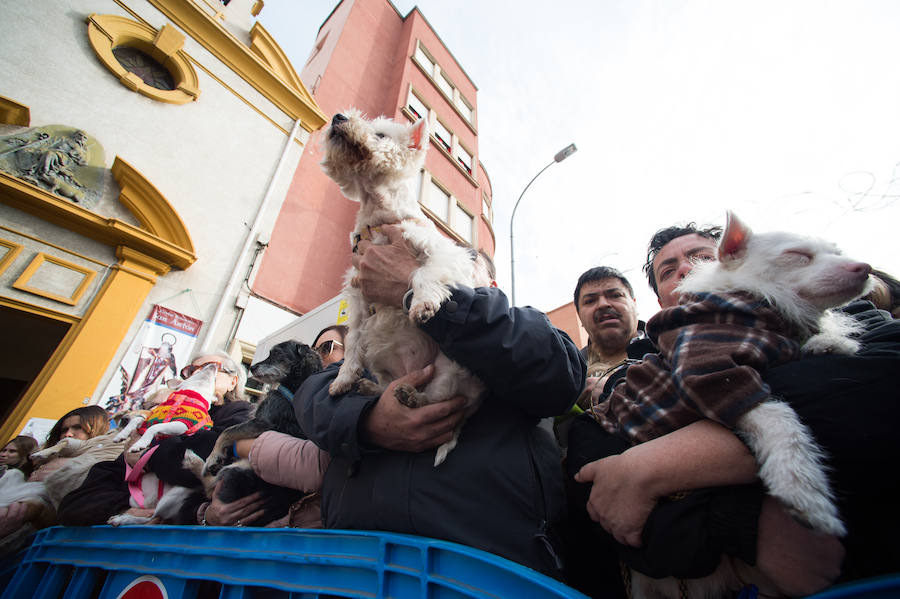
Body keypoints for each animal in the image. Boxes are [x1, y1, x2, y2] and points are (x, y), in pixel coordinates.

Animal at [322, 111, 488, 468]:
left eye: (381, 134)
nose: (339, 117)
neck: (377, 213)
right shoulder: (358, 298)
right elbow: (352, 343)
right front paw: (342, 379)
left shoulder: (442, 255)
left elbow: (423, 275)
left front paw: (422, 304)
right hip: (384, 367)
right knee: (390, 386)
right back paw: (374, 390)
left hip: (448, 370)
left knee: (439, 403)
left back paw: (412, 397)